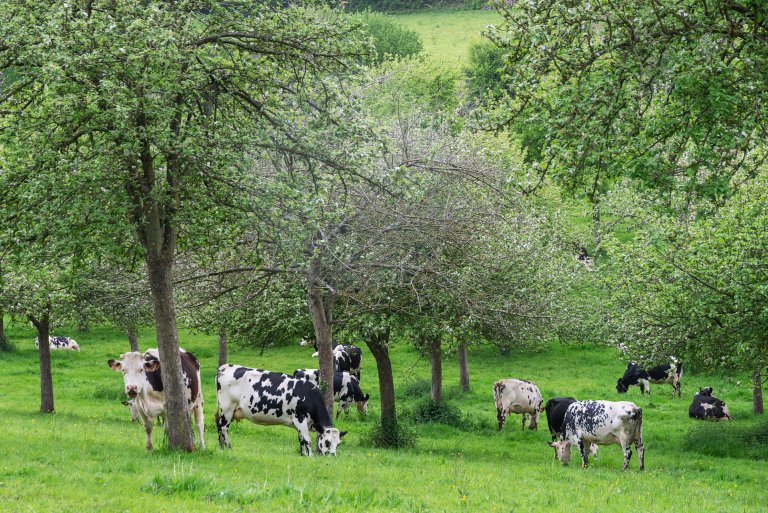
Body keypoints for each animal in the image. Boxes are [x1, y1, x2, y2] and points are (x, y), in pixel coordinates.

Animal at [216, 365, 346, 456]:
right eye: (327, 442)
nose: (332, 455)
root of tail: (225, 367)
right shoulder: (300, 419)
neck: (310, 395)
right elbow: (307, 440)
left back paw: (221, 447)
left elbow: (301, 440)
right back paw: (228, 447)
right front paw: (310, 456)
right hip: (227, 408)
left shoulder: (299, 423)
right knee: (223, 427)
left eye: (338, 444)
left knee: (219, 426)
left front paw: (303, 455)